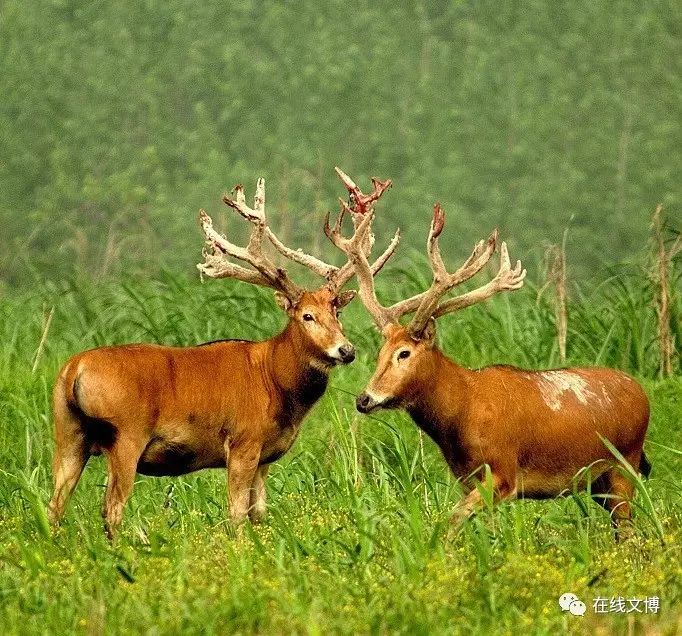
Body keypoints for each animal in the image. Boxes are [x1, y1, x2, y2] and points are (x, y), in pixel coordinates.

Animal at [47, 169, 396, 536]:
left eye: (337, 312)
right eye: (306, 316)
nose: (346, 350)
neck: (276, 381)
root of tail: (73, 370)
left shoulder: (265, 456)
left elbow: (259, 513)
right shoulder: (243, 441)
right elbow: (237, 514)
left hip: (68, 432)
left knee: (54, 505)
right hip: (125, 434)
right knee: (111, 508)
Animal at [328, 201, 648, 536]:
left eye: (404, 353)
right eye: (380, 353)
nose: (364, 399)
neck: (463, 410)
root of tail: (641, 392)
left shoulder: (504, 471)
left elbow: (452, 521)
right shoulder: (467, 478)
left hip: (625, 464)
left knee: (628, 528)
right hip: (599, 483)